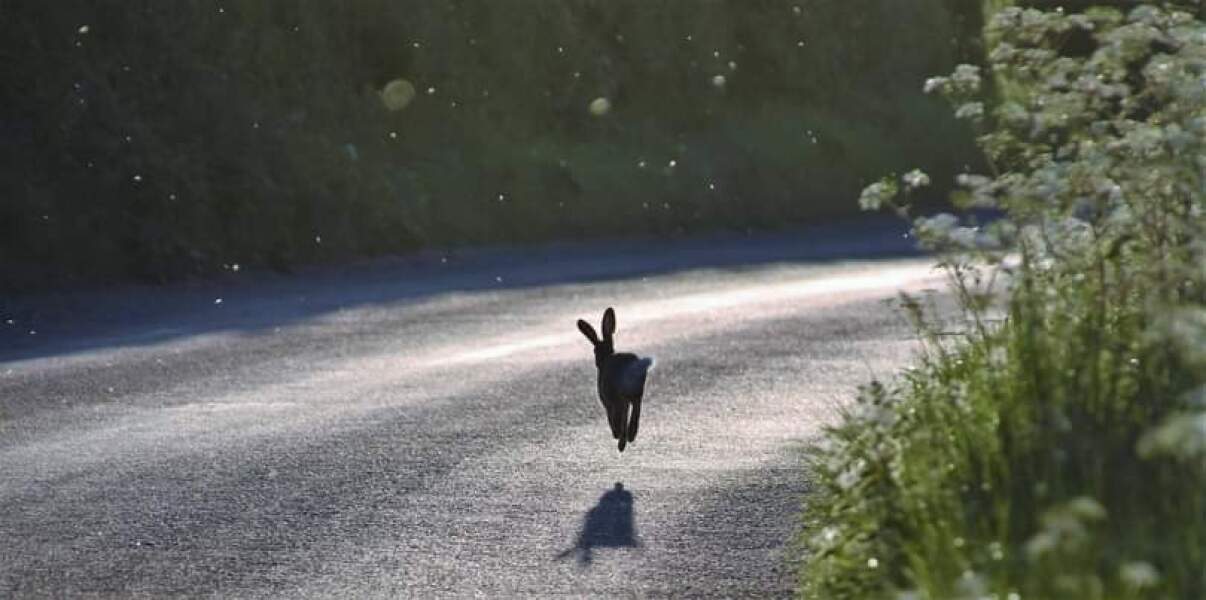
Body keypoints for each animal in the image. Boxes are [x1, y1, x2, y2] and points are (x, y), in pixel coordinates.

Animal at [577, 307, 655, 452]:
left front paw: (615, 434)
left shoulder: (606, 400)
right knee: (636, 408)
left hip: (619, 395)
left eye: (594, 351)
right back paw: (630, 436)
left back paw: (621, 441)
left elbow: (612, 415)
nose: (596, 361)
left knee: (622, 414)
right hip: (636, 392)